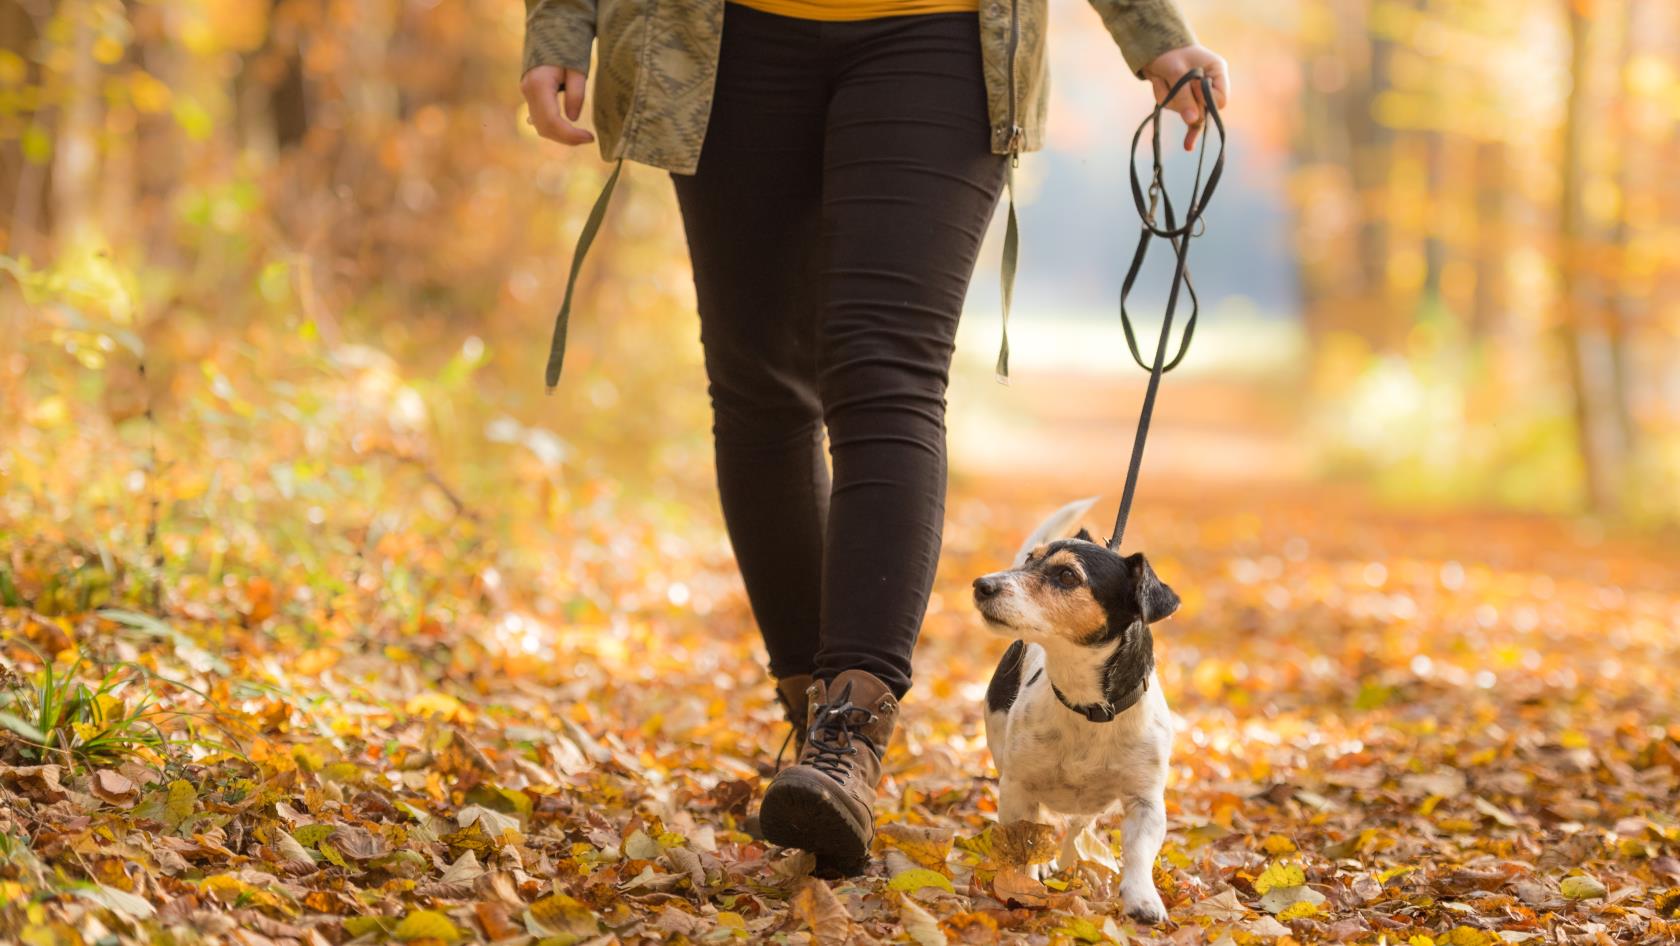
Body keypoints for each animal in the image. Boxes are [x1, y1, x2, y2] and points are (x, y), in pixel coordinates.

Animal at [974, 500, 1182, 927]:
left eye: (1067, 576)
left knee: (1078, 826)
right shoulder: (1017, 789)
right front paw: (1023, 883)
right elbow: (1024, 842)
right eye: (1030, 560)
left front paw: (1143, 898)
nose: (982, 584)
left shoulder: (1146, 802)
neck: (1087, 708)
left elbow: (1138, 852)